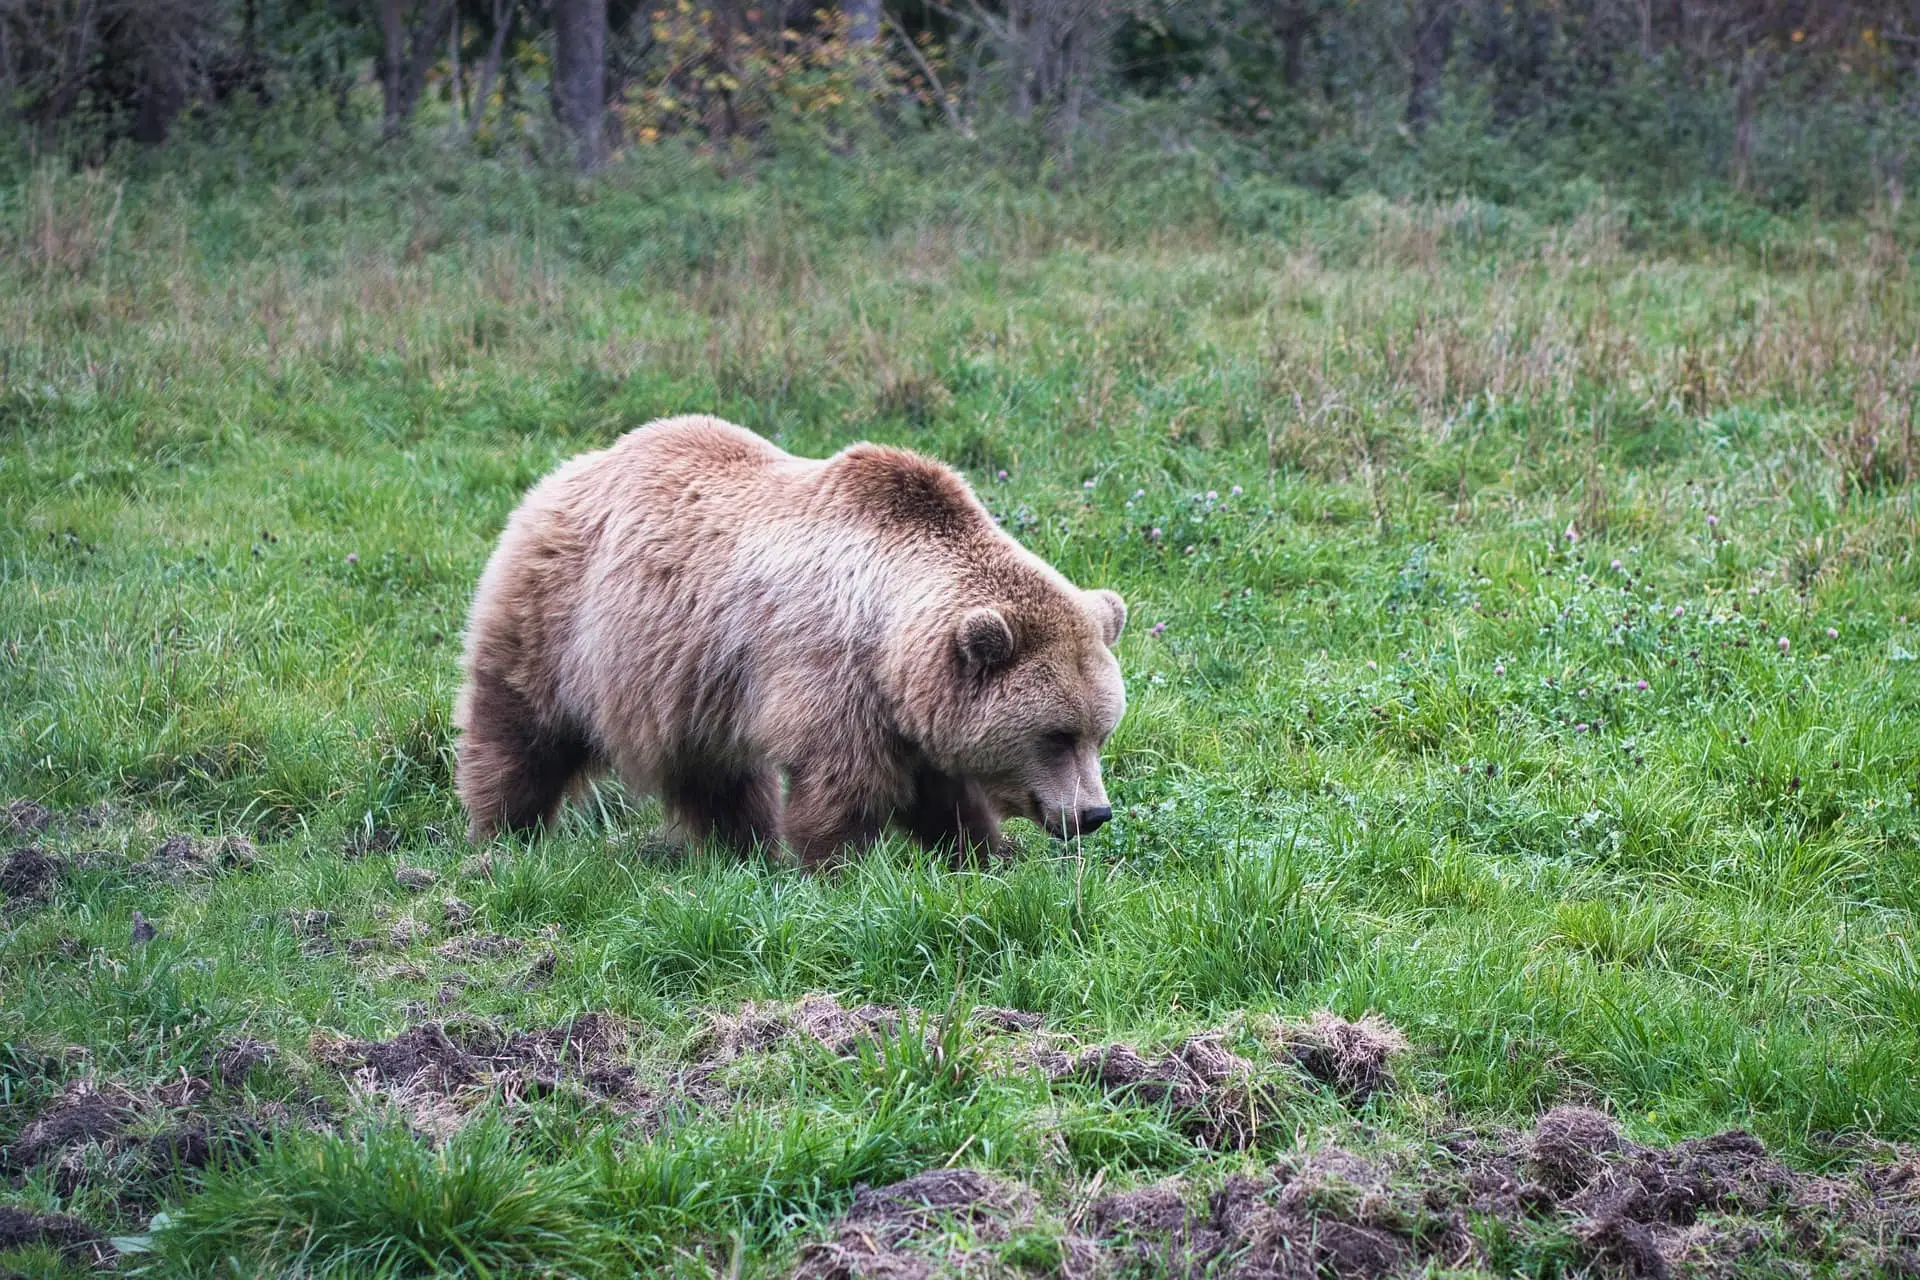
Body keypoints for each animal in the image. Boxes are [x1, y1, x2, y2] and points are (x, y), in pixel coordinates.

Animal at [453, 414, 1127, 866]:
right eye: (1056, 735)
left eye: (1100, 731)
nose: (1093, 813)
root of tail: (561, 473)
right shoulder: (829, 671)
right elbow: (842, 786)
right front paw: (839, 867)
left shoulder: (910, 704)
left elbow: (945, 794)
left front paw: (984, 853)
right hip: (561, 617)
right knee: (522, 726)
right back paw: (504, 833)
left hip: (688, 678)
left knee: (715, 777)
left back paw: (746, 848)